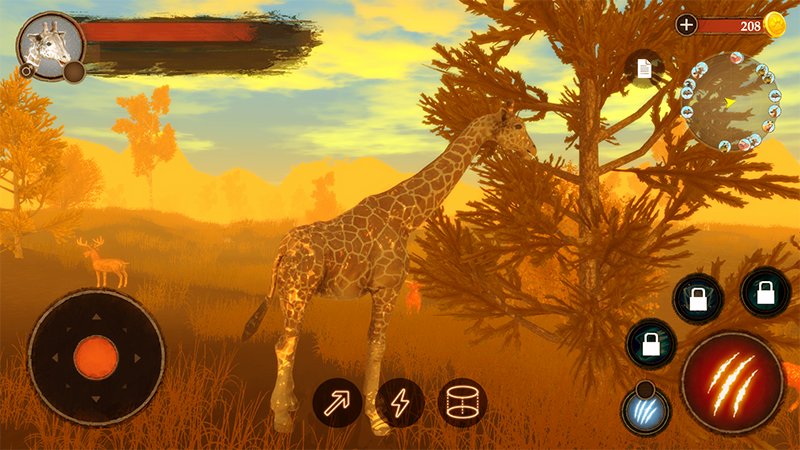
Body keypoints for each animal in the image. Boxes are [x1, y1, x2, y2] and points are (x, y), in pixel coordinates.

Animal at [241, 100, 537, 436]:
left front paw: (376, 414)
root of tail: (282, 250)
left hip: (289, 293)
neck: (405, 216)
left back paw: (289, 404)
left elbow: (374, 344)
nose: (532, 151)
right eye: (518, 126)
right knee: (284, 344)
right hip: (296, 292)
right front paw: (378, 420)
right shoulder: (387, 287)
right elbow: (377, 346)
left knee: (289, 341)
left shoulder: (384, 289)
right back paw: (281, 418)